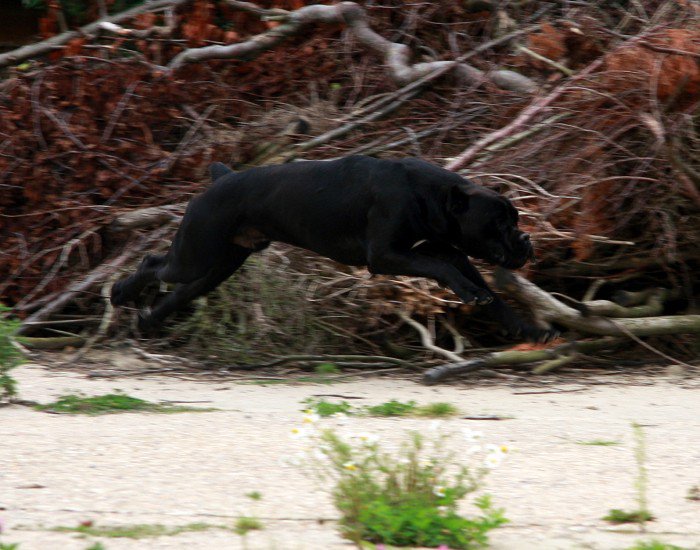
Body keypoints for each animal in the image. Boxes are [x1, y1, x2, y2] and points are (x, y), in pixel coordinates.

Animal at [112, 154, 556, 340]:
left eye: (515, 220)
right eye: (499, 224)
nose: (525, 239)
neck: (427, 195)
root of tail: (220, 178)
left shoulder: (446, 251)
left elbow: (488, 293)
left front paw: (527, 329)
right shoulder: (388, 257)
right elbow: (446, 272)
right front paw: (473, 296)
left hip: (217, 267)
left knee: (177, 295)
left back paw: (148, 322)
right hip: (195, 255)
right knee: (153, 262)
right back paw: (119, 293)